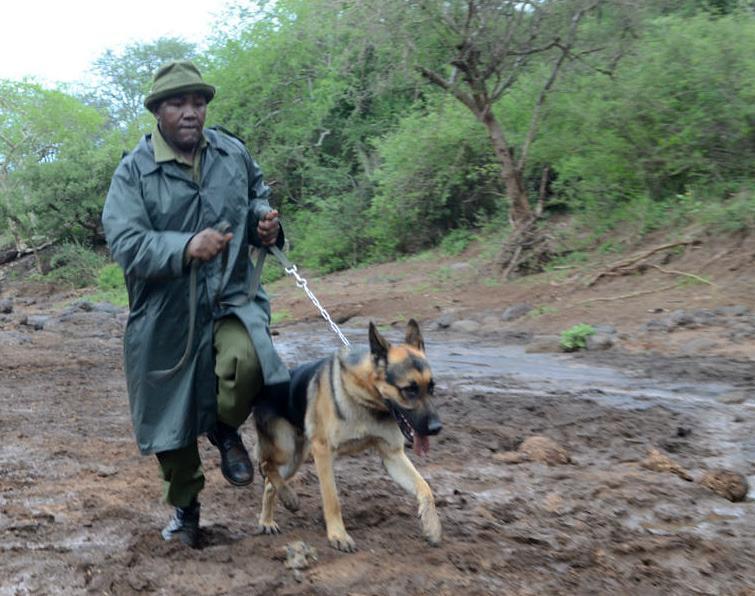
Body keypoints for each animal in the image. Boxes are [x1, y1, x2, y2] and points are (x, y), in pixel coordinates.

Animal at [254, 318, 442, 552]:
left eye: (432, 388)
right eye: (409, 390)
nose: (437, 428)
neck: (367, 397)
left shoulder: (392, 456)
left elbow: (425, 487)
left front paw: (432, 526)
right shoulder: (323, 452)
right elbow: (332, 499)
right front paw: (338, 535)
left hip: (296, 458)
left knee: (270, 483)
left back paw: (268, 519)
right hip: (287, 450)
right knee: (265, 465)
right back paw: (287, 499)